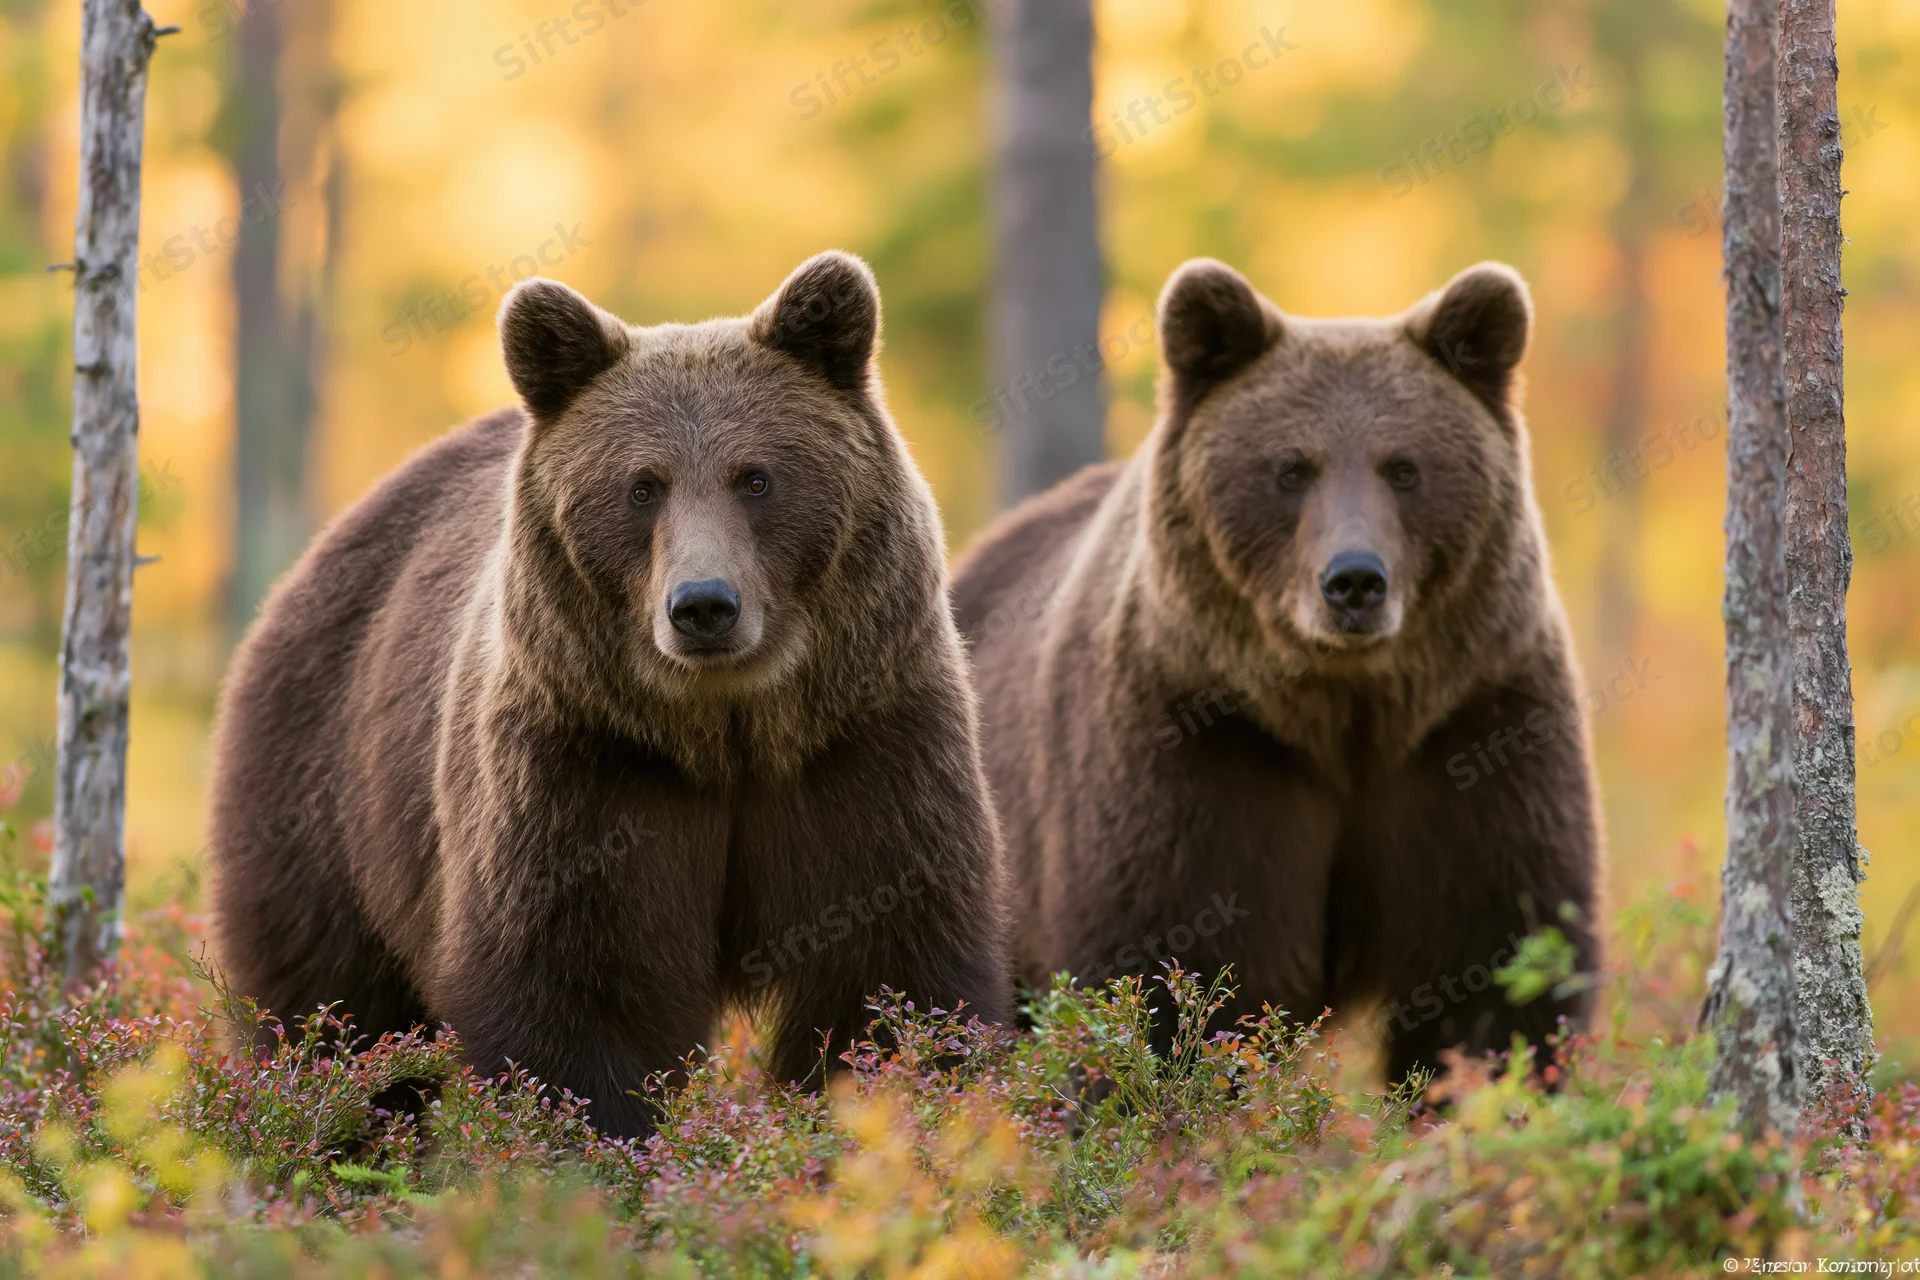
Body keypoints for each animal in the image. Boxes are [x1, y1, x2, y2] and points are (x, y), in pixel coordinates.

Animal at [208, 251, 1011, 1137]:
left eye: (756, 478)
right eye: (643, 486)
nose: (703, 605)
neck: (729, 731)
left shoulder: (866, 747)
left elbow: (892, 975)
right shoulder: (584, 763)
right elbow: (573, 992)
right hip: (324, 796)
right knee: (333, 1010)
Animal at [951, 258, 1600, 1084]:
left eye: (1404, 467)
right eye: (1291, 468)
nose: (1353, 580)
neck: (1345, 717)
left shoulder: (1475, 727)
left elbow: (1495, 970)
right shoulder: (1196, 742)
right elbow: (1172, 972)